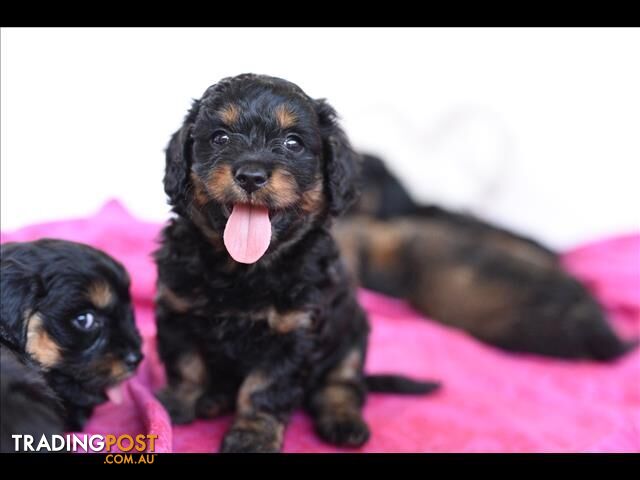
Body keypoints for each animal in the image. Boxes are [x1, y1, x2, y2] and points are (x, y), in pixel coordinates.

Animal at [155, 73, 438, 452]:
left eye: (293, 143)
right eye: (219, 138)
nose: (251, 175)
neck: (244, 269)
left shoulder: (293, 334)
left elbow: (264, 388)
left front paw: (253, 435)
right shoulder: (178, 310)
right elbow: (186, 365)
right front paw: (174, 404)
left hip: (353, 335)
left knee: (342, 385)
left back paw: (343, 420)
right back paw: (213, 398)